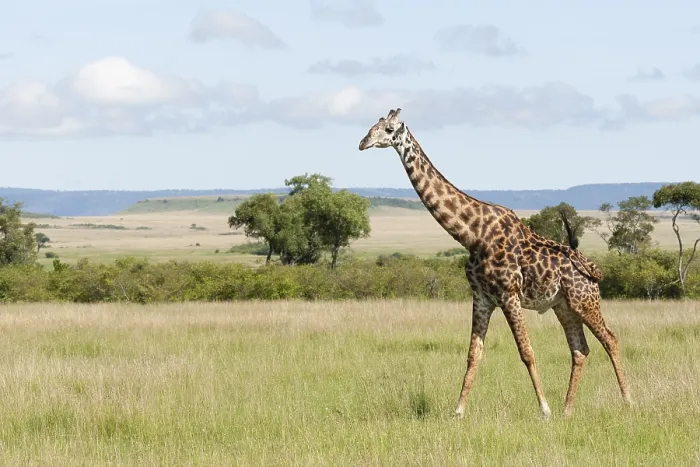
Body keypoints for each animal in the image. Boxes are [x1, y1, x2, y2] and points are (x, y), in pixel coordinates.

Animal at [358, 108, 631, 419]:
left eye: (389, 129)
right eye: (373, 126)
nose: (363, 143)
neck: (472, 234)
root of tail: (593, 270)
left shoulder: (509, 294)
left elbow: (526, 352)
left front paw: (544, 410)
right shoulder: (482, 296)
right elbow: (473, 353)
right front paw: (458, 411)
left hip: (585, 300)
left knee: (610, 339)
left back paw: (627, 401)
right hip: (563, 306)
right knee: (580, 349)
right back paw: (568, 410)